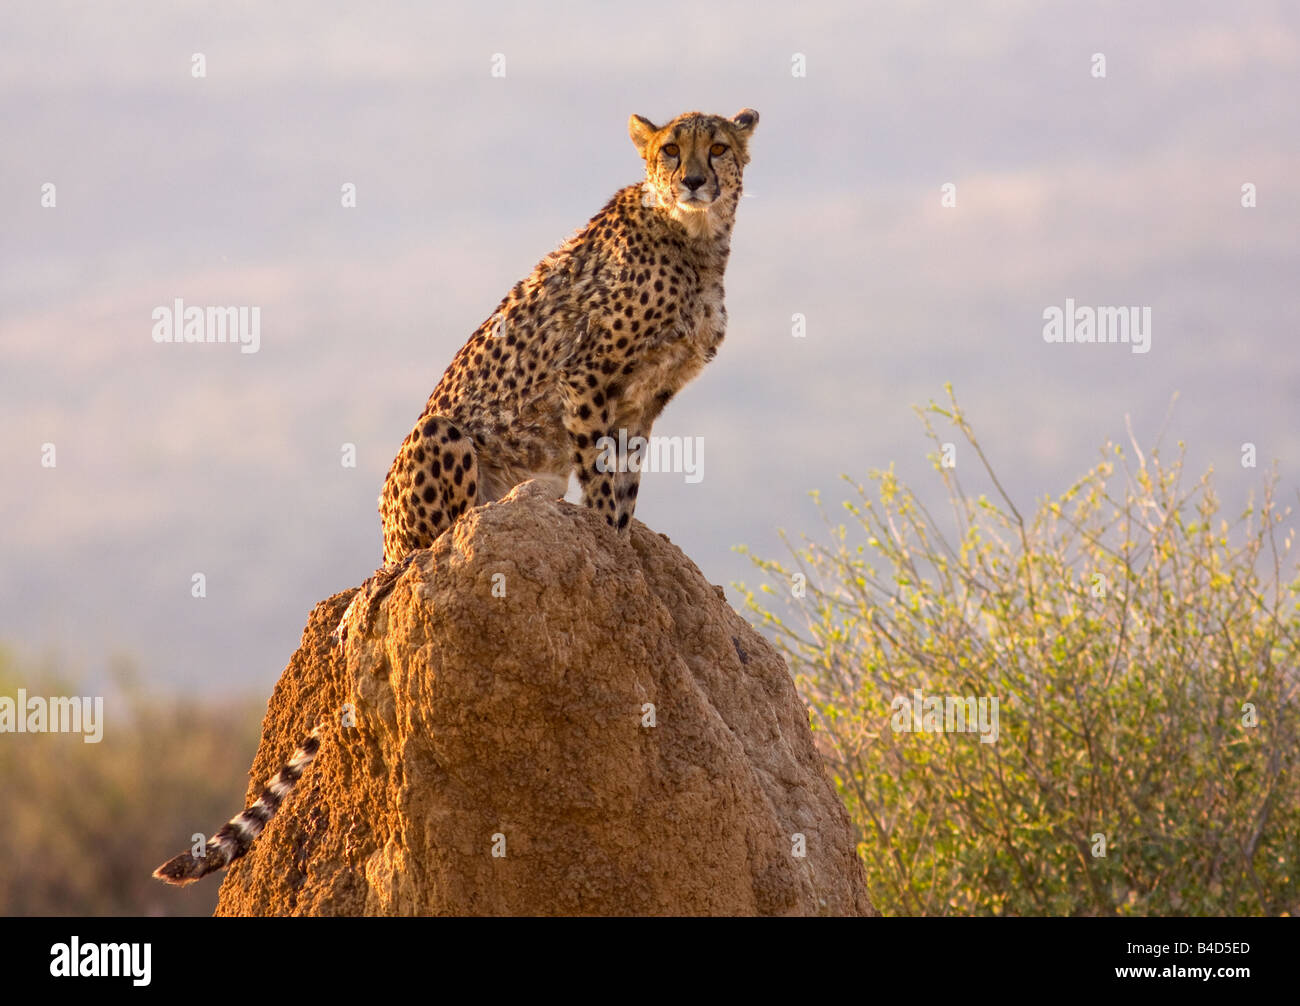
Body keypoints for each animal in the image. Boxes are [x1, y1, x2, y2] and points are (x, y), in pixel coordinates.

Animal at [156, 106, 759, 889]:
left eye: (718, 147)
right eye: (668, 150)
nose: (692, 179)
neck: (695, 240)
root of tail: (387, 554)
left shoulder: (643, 403)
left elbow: (622, 487)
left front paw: (626, 549)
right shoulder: (588, 379)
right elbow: (604, 490)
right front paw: (612, 552)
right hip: (441, 439)